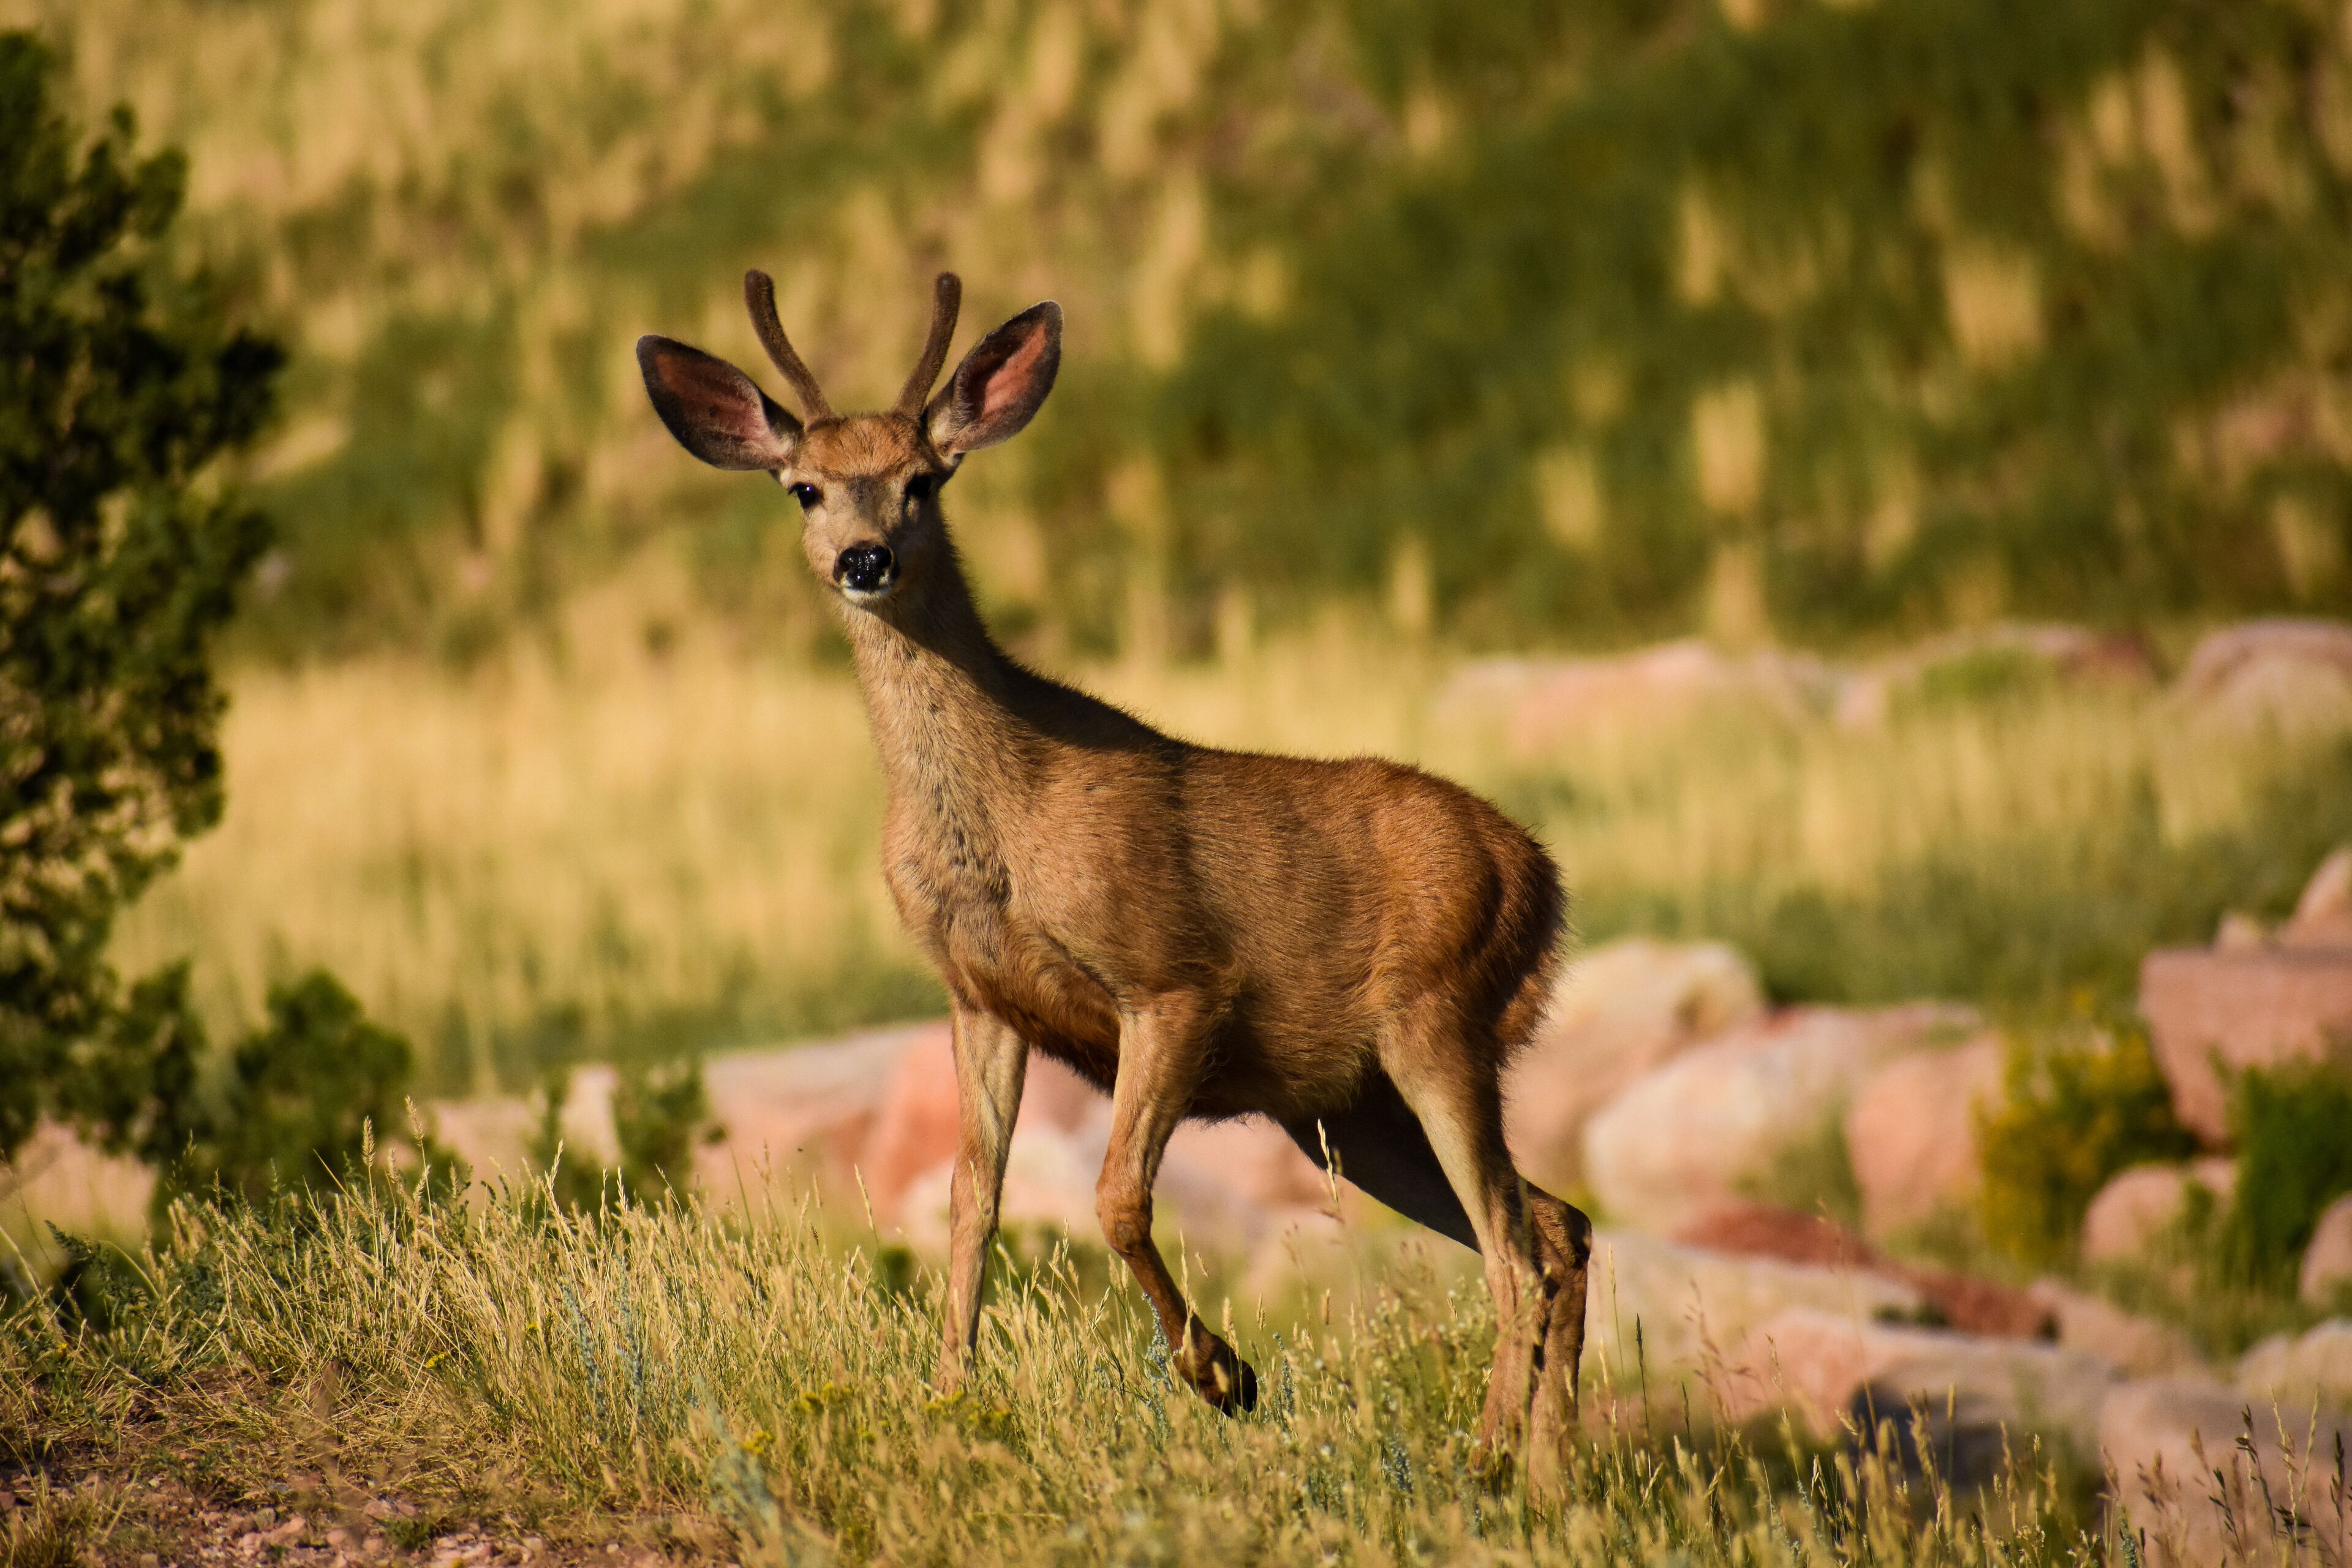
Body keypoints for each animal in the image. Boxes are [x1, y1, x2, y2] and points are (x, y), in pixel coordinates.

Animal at [636, 270, 1593, 1485]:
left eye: (922, 479)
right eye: (804, 489)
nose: (866, 560)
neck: (1004, 819)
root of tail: (1544, 878)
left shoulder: (1174, 980)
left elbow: (1116, 1198)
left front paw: (1223, 1373)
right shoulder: (981, 999)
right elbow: (972, 1199)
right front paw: (949, 1397)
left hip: (1438, 1015)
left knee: (1518, 1247)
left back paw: (1489, 1455)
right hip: (1348, 1106)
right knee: (1561, 1226)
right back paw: (1557, 1477)